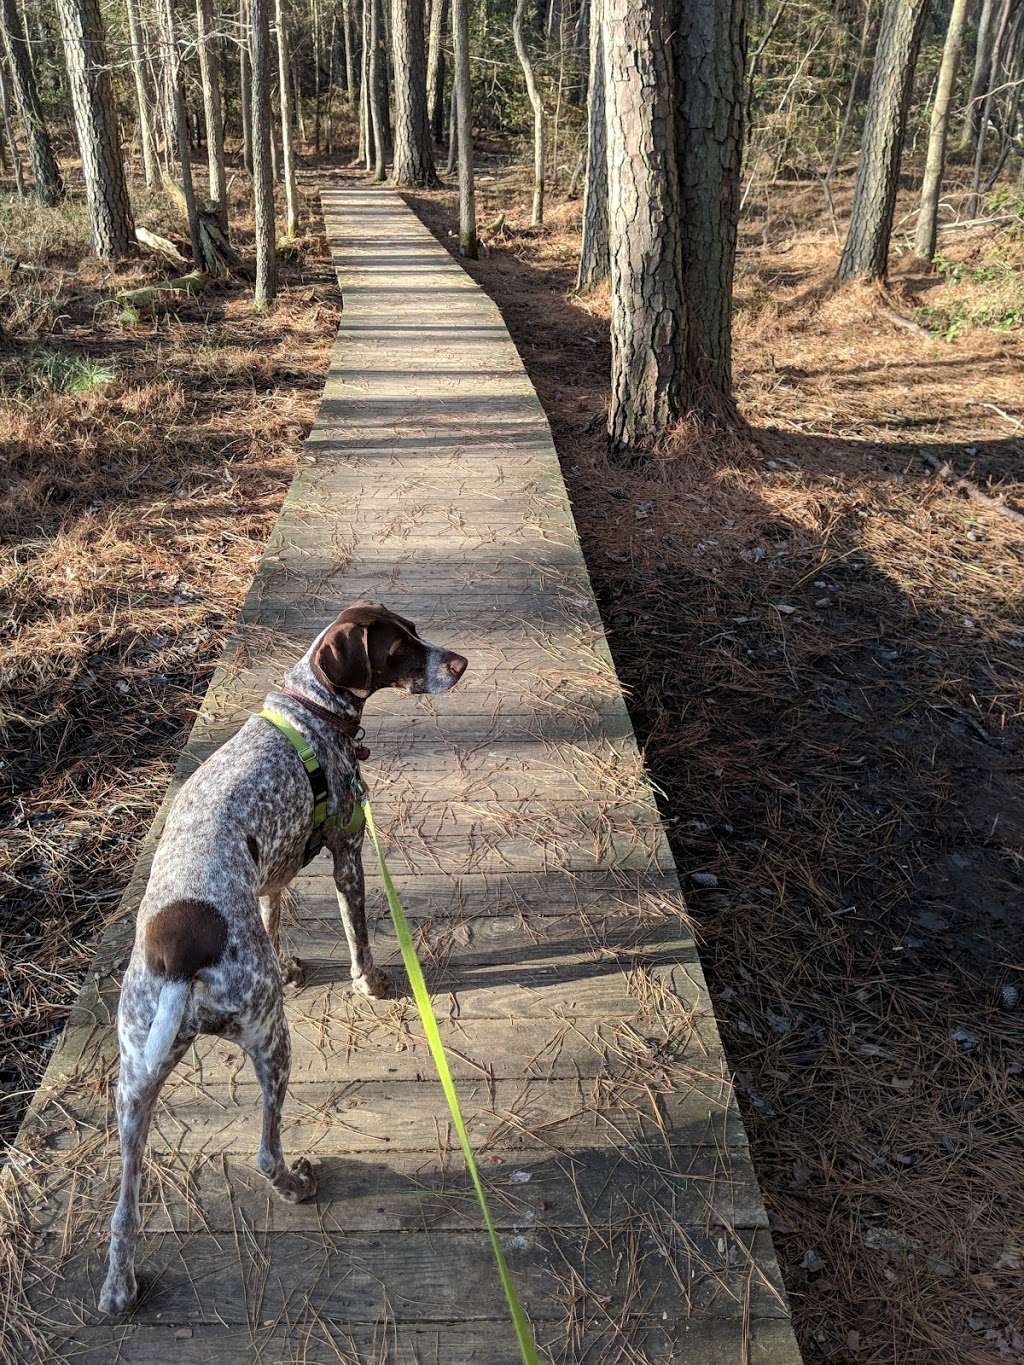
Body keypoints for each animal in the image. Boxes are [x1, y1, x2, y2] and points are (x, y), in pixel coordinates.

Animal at [100, 603, 469, 1315]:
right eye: (399, 649)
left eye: (414, 631)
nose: (459, 664)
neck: (310, 708)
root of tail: (178, 952)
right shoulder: (348, 848)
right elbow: (358, 933)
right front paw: (371, 981)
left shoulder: (273, 869)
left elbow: (273, 914)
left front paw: (290, 961)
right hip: (272, 1040)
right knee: (265, 1152)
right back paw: (296, 1183)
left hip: (135, 1082)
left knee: (123, 1210)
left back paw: (118, 1286)